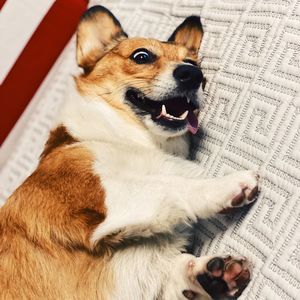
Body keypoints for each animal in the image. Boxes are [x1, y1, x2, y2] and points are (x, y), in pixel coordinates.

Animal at [0, 5, 258, 300]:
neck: (133, 140)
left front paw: (210, 277)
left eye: (193, 64)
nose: (193, 76)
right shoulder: (105, 199)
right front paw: (226, 185)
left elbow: (176, 269)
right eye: (141, 56)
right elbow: (169, 184)